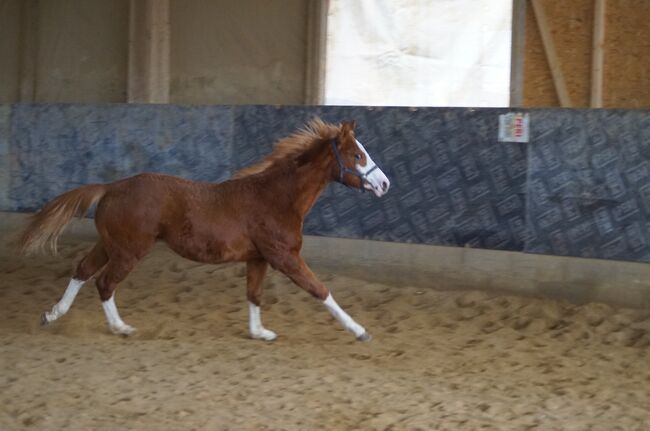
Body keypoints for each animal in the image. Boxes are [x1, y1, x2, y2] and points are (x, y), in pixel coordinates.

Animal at [16, 120, 390, 342]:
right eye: (357, 155)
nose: (385, 183)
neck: (275, 198)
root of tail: (111, 187)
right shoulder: (285, 257)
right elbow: (320, 290)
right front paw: (360, 331)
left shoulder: (259, 258)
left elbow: (254, 294)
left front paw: (260, 332)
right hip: (128, 250)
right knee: (104, 282)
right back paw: (120, 327)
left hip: (110, 245)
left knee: (82, 271)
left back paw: (52, 315)